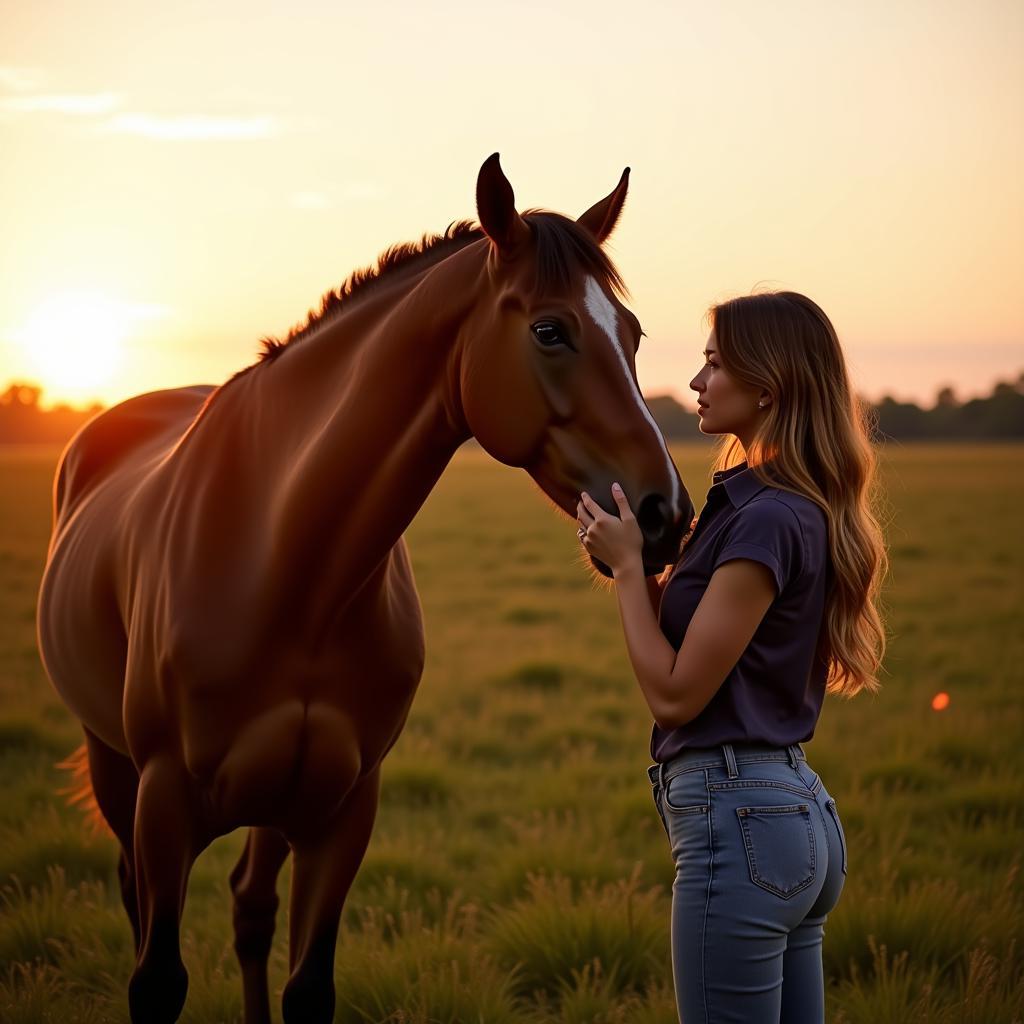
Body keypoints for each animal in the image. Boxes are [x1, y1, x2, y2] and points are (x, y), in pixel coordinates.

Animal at [36, 153, 692, 1024]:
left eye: (633, 334)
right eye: (550, 330)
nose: (665, 514)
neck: (287, 566)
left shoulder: (343, 811)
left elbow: (307, 985)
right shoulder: (165, 804)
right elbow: (158, 981)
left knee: (250, 907)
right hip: (114, 766)